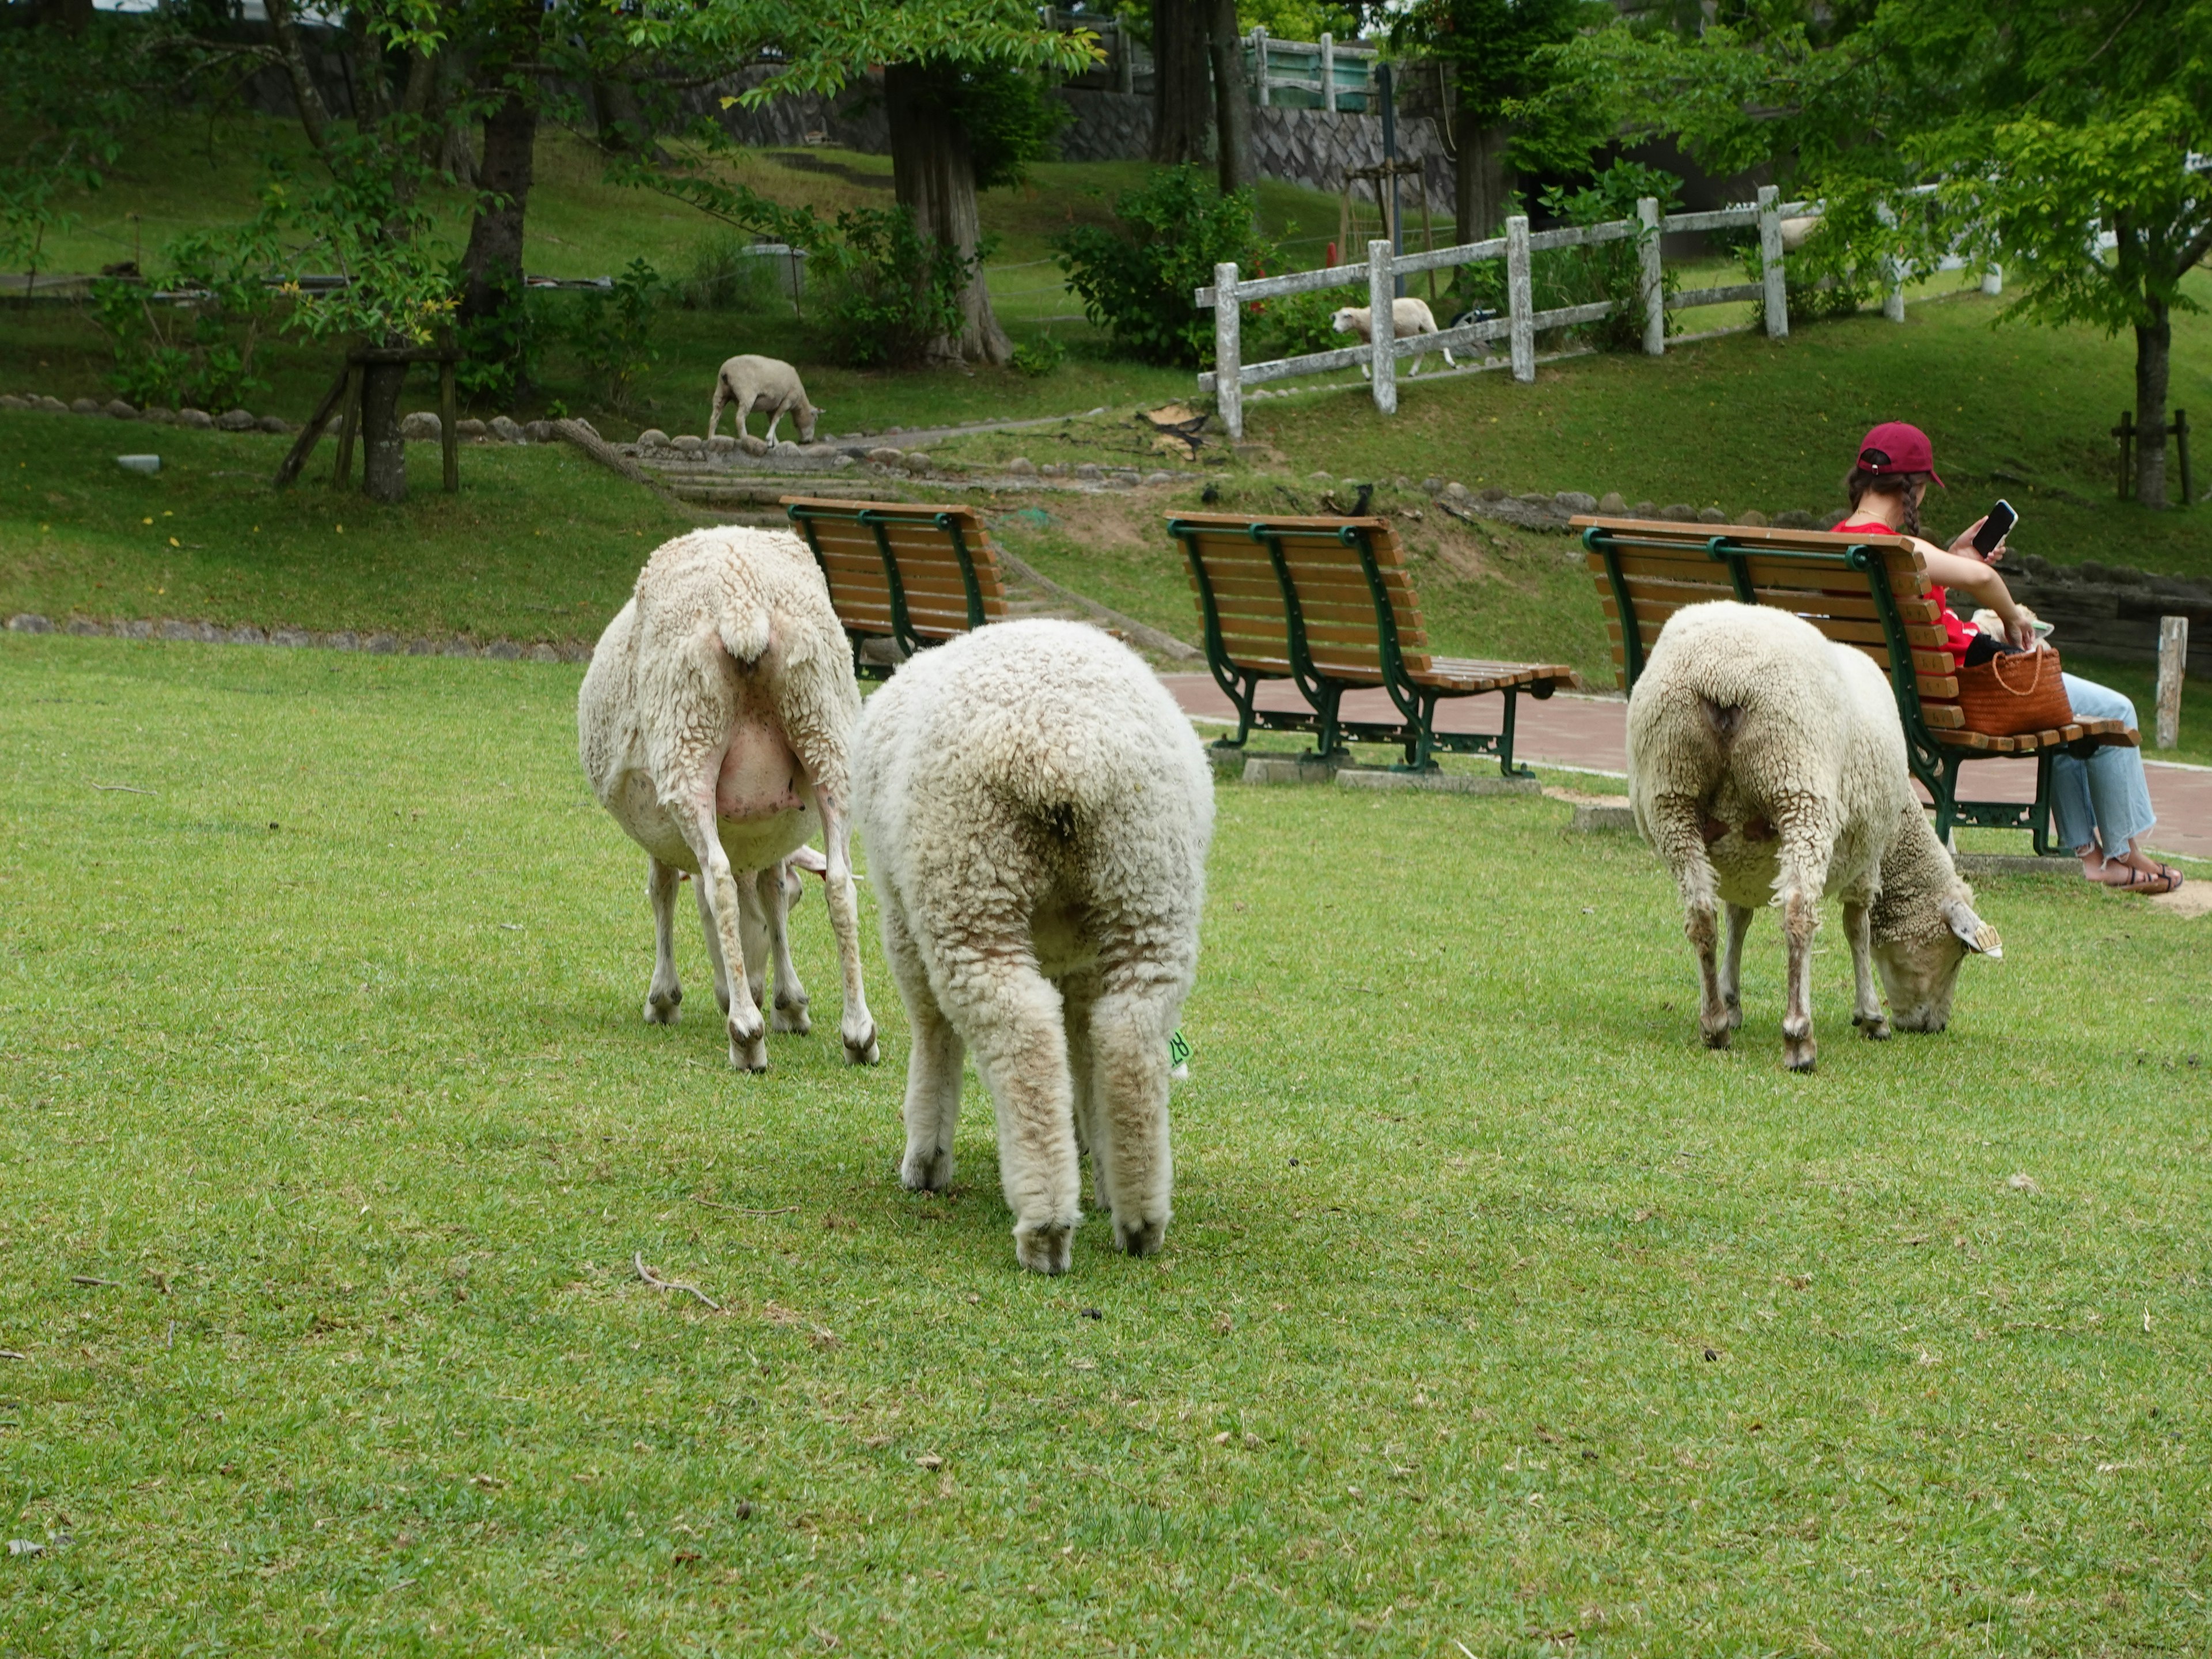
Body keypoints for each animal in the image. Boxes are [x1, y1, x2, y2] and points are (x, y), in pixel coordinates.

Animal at [579, 533, 880, 1079]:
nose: (755, 992)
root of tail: (743, 601)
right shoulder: (773, 839)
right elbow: (777, 894)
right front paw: (791, 1003)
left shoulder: (658, 830)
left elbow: (661, 891)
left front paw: (664, 998)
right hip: (827, 733)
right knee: (841, 883)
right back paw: (858, 1034)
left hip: (687, 741)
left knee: (718, 875)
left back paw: (745, 1033)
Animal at [707, 356, 823, 449]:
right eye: (815, 419)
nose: (808, 441)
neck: (799, 403)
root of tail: (726, 371)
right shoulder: (788, 400)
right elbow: (776, 419)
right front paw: (769, 439)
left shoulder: (772, 406)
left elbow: (772, 421)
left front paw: (773, 442)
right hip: (746, 393)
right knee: (740, 419)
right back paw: (745, 439)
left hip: (721, 393)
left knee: (714, 417)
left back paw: (711, 438)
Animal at [849, 619, 1230, 1283]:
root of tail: (1063, 754)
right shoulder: (1081, 961)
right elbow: (1083, 1049)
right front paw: (1094, 1161)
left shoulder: (901, 922)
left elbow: (932, 1032)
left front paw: (925, 1158)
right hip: (1148, 883)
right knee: (1128, 1038)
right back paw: (1139, 1220)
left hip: (969, 885)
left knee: (1022, 1038)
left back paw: (1045, 1227)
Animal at [1628, 606, 2008, 1070]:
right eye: (1955, 957)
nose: (1933, 1026)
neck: (1901, 831)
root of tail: (1723, 677)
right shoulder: (1868, 860)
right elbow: (1858, 928)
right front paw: (1871, 1017)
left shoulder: (1743, 860)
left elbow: (1738, 919)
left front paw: (1732, 1003)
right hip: (1799, 787)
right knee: (1798, 913)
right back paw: (1799, 1038)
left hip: (1672, 792)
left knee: (1701, 914)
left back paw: (1715, 1025)